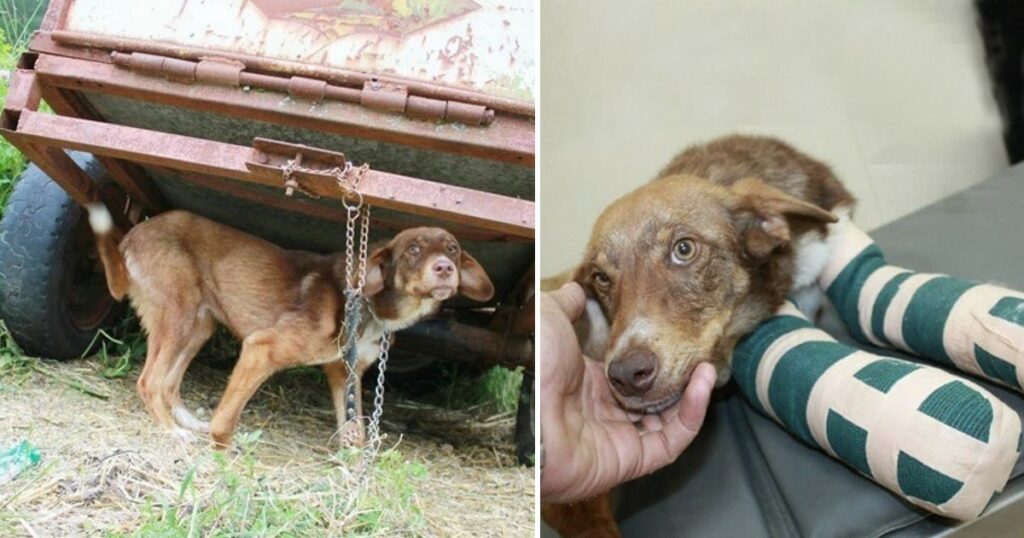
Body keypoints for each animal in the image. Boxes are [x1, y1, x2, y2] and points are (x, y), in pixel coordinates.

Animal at [86, 208, 493, 446]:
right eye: (413, 249)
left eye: (453, 249)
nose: (445, 268)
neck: (368, 307)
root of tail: (129, 236)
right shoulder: (261, 348)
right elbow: (227, 420)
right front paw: (223, 452)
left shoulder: (344, 373)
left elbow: (355, 430)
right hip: (178, 316)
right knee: (149, 381)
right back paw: (171, 431)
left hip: (198, 326)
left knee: (169, 383)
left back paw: (185, 422)